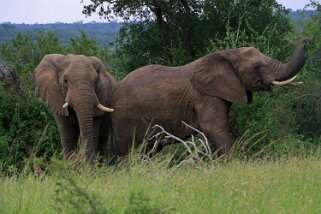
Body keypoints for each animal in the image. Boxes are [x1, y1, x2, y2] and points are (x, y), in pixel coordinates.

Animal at [111, 38, 308, 156]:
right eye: (257, 66)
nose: (307, 41)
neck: (228, 53)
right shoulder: (205, 97)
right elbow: (215, 129)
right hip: (124, 117)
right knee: (128, 151)